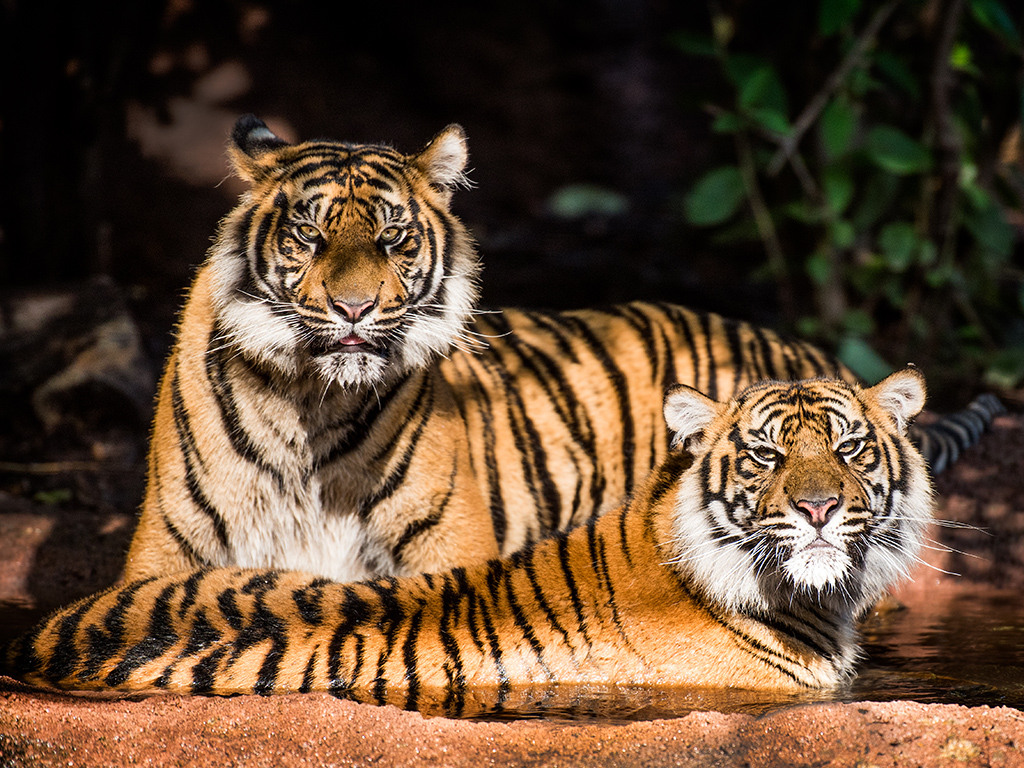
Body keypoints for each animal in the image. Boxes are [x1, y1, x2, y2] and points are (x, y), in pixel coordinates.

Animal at [128, 112, 999, 581]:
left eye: (394, 238)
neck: (310, 403)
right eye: (309, 236)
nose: (353, 307)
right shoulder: (164, 555)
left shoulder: (445, 552)